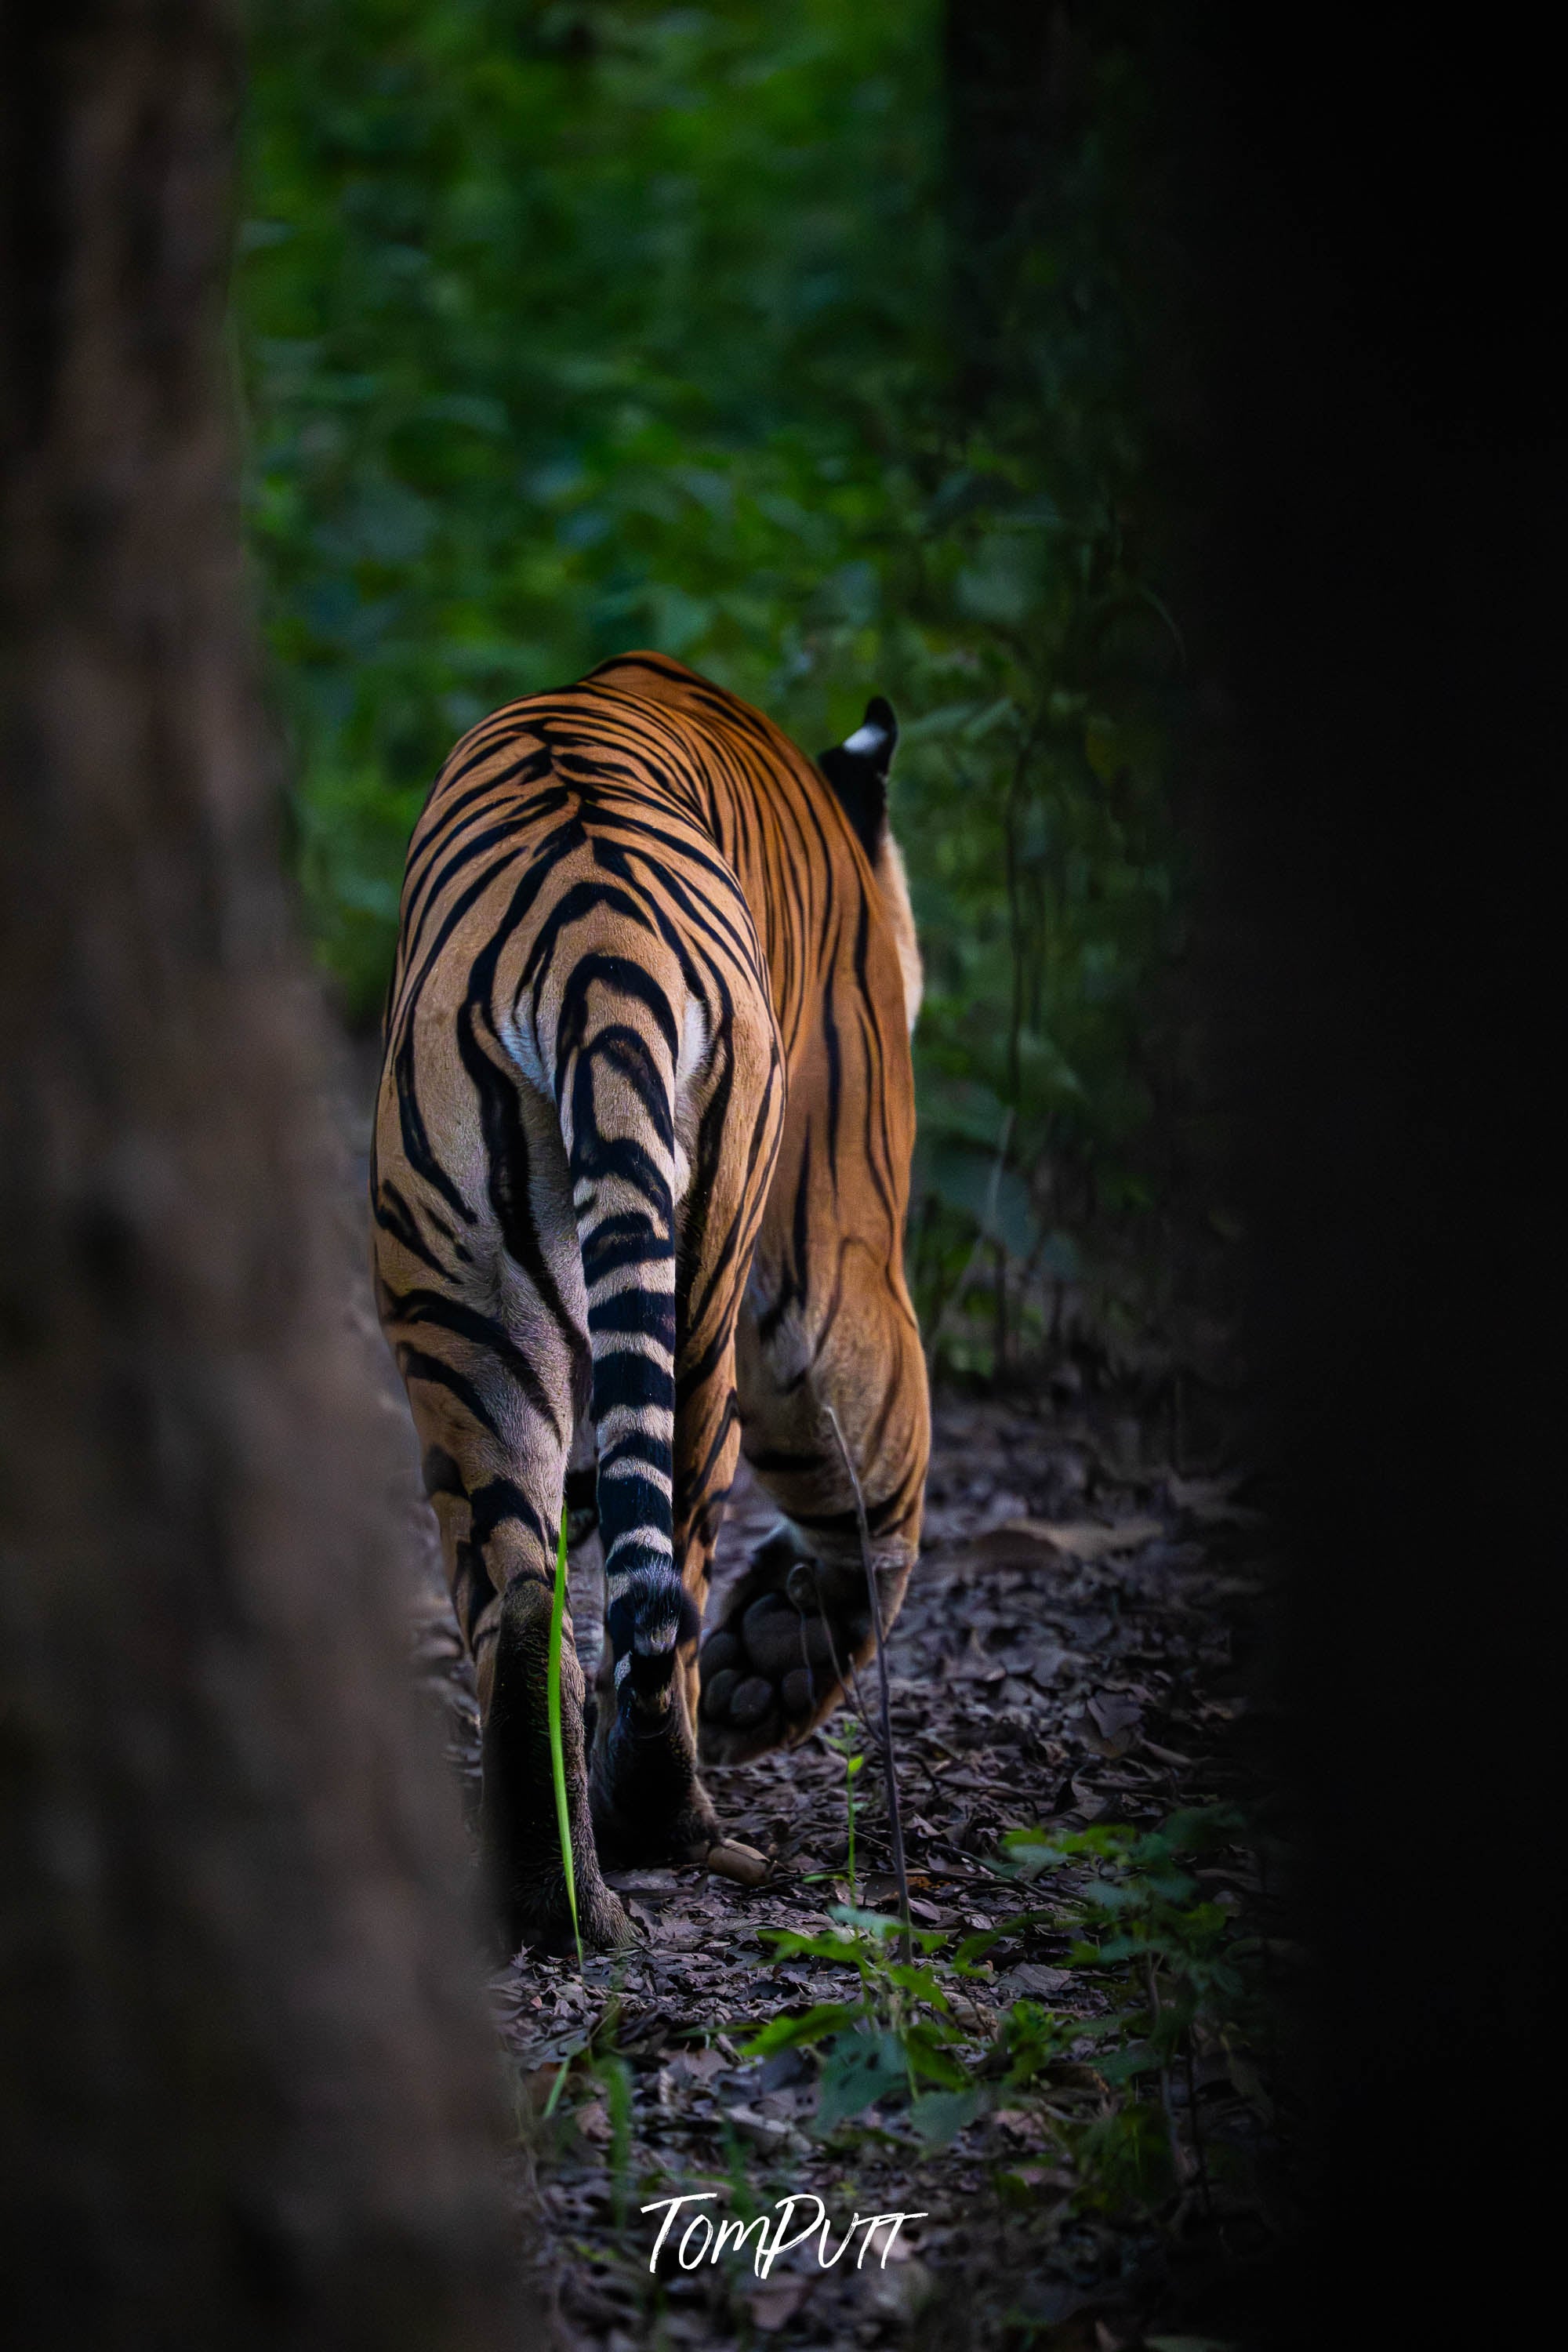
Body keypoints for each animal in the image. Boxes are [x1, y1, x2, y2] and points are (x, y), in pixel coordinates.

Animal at [371, 651, 930, 1953]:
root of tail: (592, 952)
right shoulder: (839, 1234)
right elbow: (883, 1474)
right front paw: (768, 1672)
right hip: (711, 1303)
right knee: (664, 1580)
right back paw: (664, 1816)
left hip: (465, 1307)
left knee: (525, 1600)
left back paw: (551, 1898)